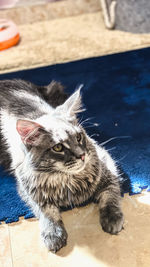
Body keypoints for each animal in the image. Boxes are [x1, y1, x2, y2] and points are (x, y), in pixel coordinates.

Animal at [0, 79, 123, 253]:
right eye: (58, 147)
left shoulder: (107, 165)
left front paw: (112, 217)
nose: (82, 155)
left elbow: (110, 195)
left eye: (79, 137)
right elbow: (47, 212)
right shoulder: (29, 191)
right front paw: (53, 233)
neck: (68, 180)